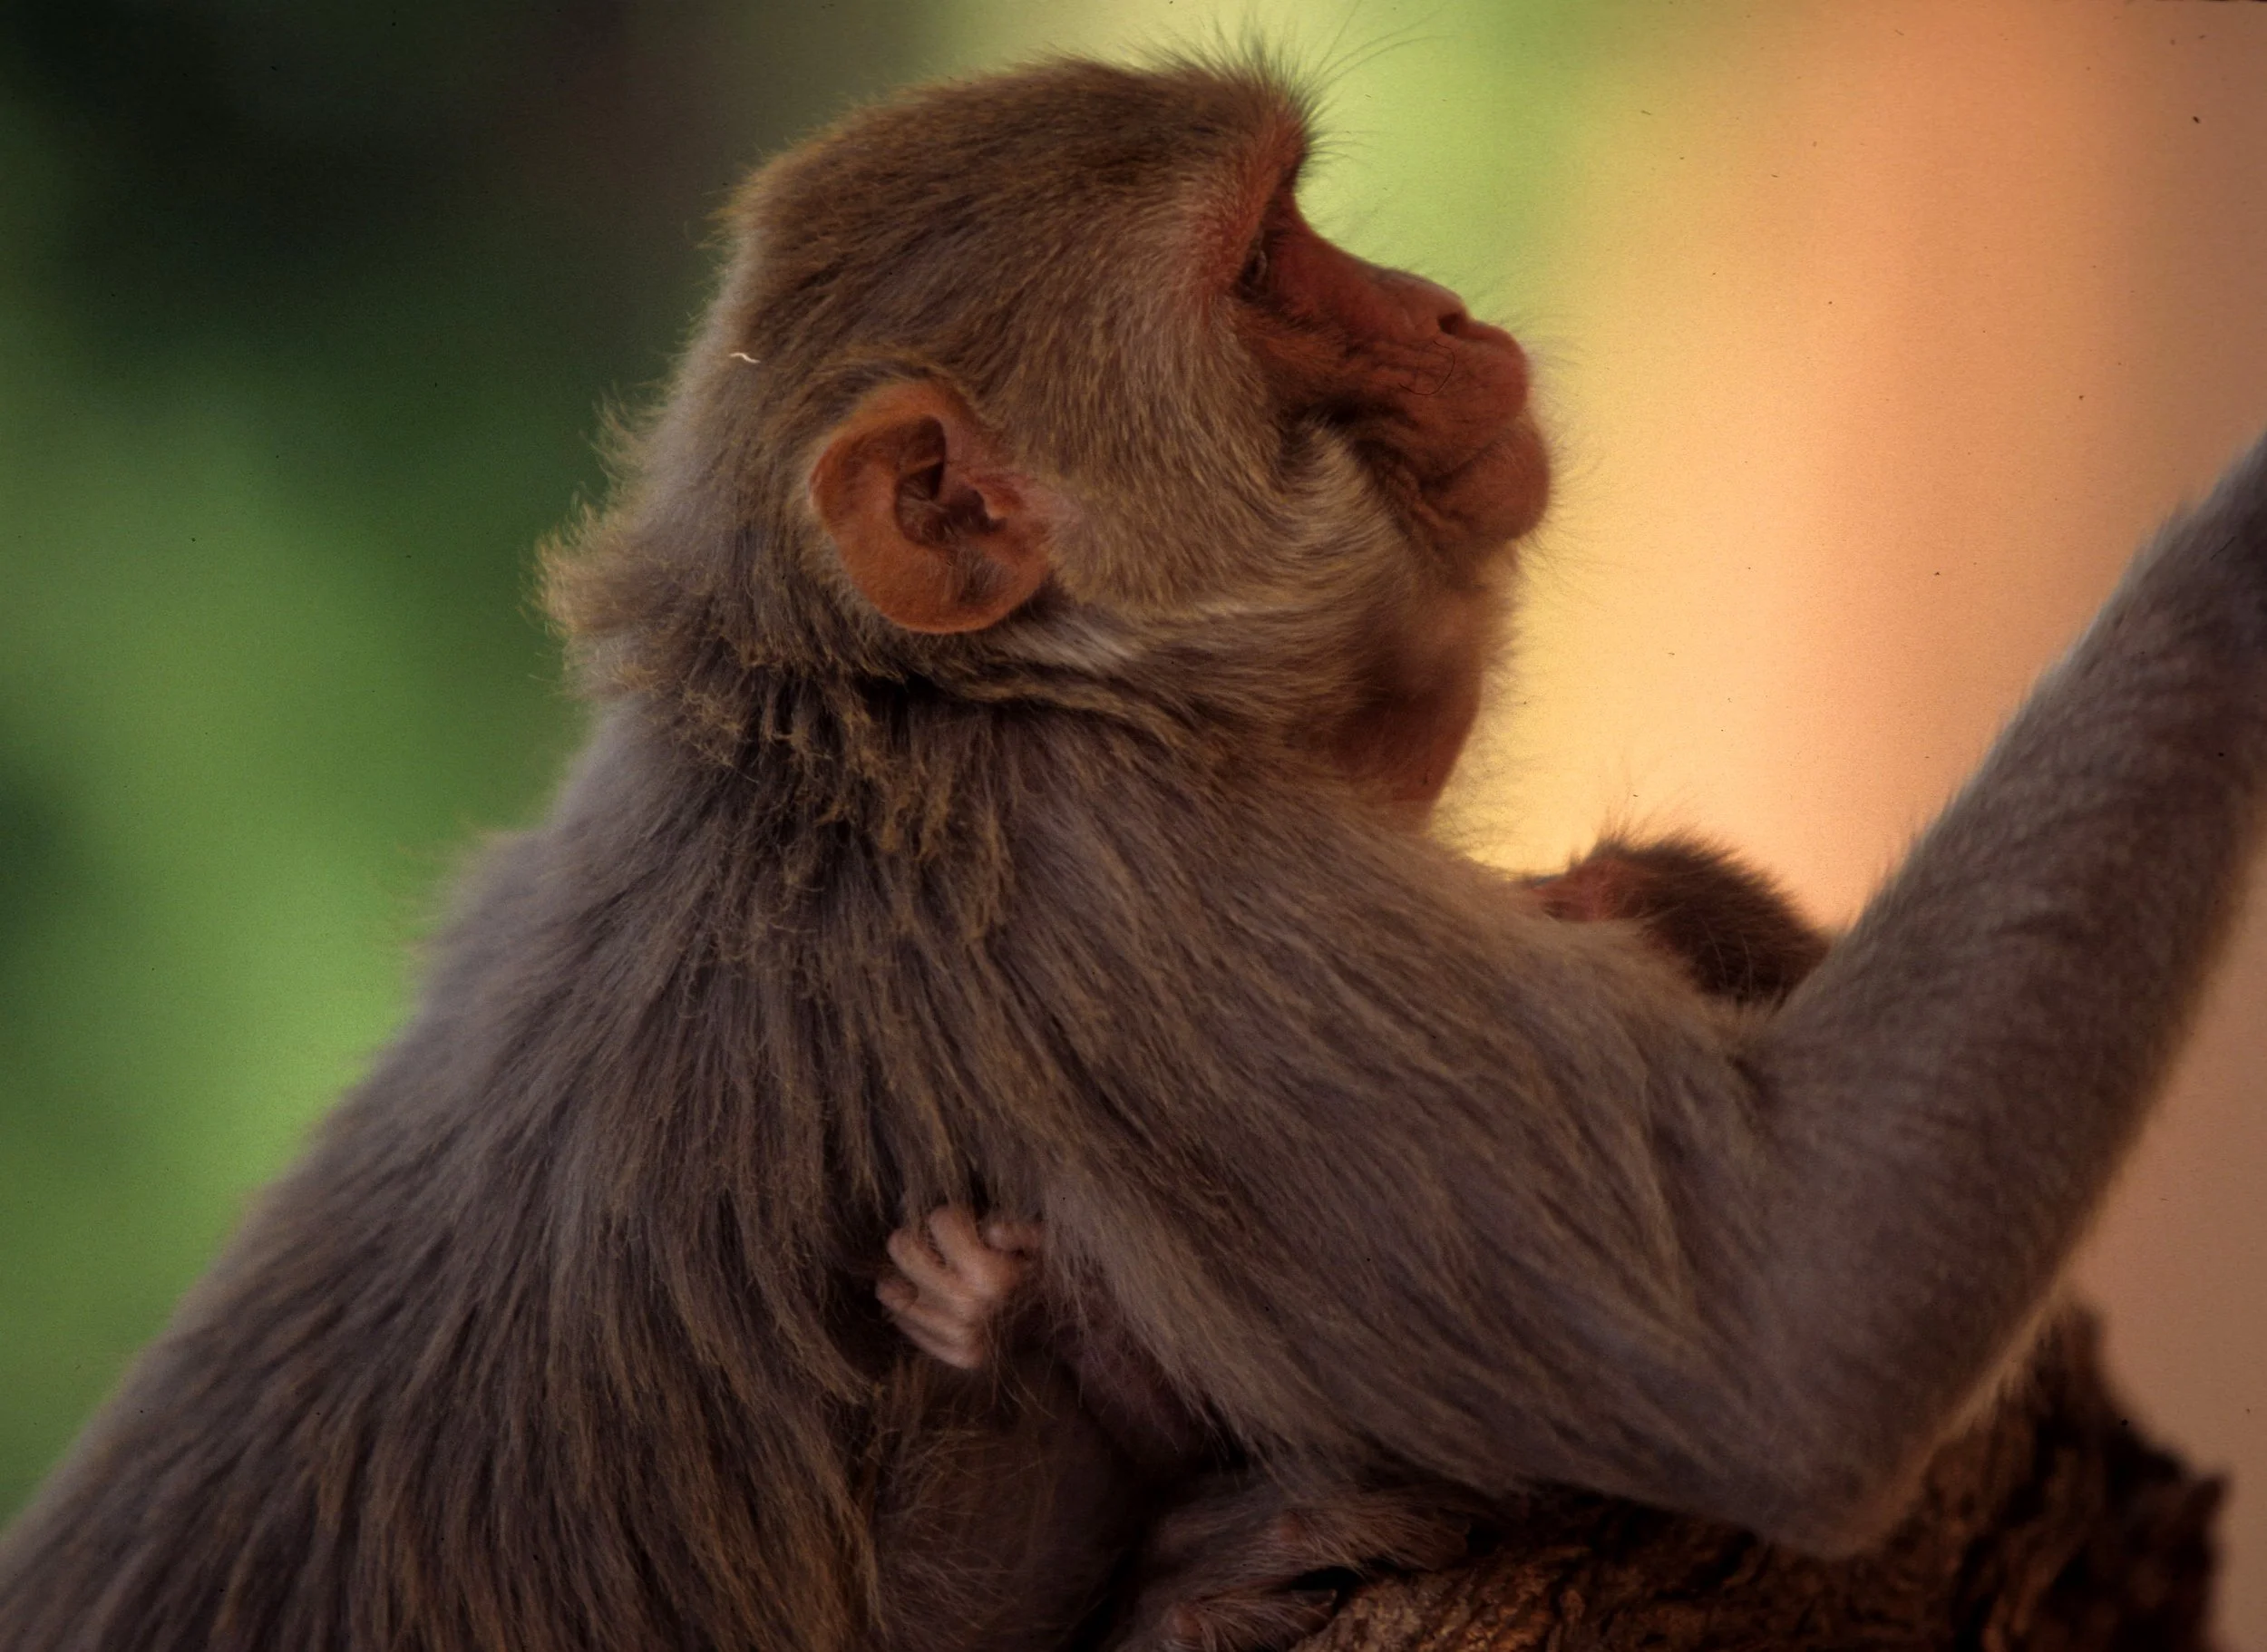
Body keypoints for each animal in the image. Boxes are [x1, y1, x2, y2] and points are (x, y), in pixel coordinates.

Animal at [5, 49, 2267, 1652]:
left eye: (1308, 224)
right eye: (1266, 265)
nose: (1446, 312)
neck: (920, 702)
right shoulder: (1103, 892)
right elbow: (1798, 1319)